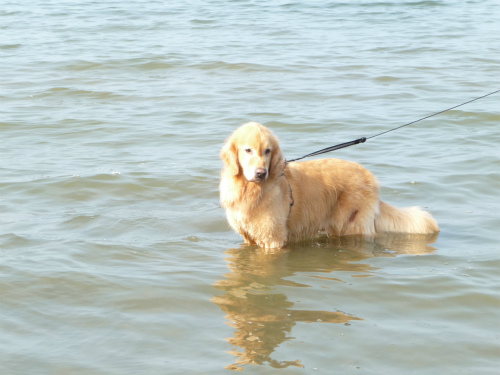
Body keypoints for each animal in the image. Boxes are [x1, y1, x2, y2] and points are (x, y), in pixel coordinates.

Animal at [219, 121, 438, 250]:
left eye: (267, 151)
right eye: (248, 150)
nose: (261, 173)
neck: (249, 190)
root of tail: (372, 178)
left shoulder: (273, 239)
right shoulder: (249, 237)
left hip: (349, 225)